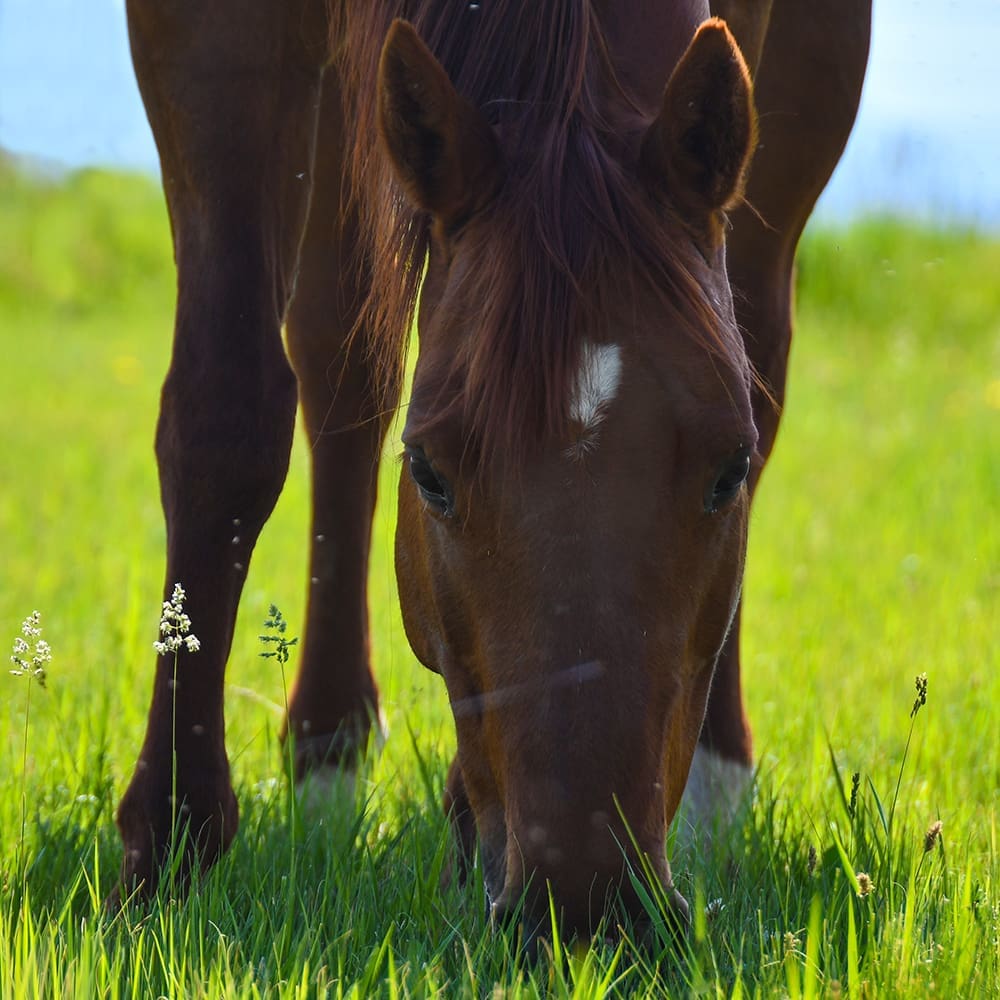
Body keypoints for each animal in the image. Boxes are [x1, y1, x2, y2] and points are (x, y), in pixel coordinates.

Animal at [117, 0, 868, 936]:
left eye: (729, 472)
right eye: (429, 473)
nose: (584, 900)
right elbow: (229, 408)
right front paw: (169, 844)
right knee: (344, 357)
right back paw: (332, 749)